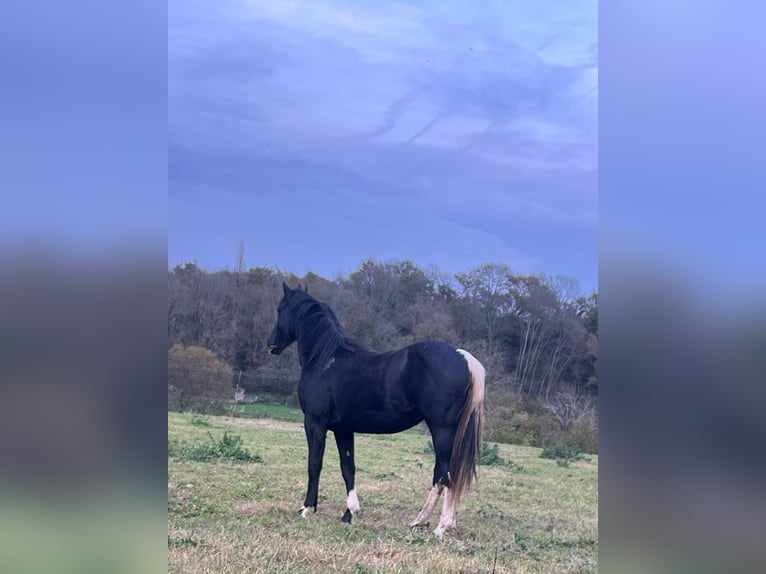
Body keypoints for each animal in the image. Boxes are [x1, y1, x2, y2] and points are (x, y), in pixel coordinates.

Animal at [267, 282, 486, 537]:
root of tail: (464, 357)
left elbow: (314, 464)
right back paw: (419, 521)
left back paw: (442, 527)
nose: (271, 344)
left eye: (280, 309)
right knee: (440, 475)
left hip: (442, 432)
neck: (324, 360)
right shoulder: (343, 429)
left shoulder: (315, 423)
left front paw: (307, 508)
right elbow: (348, 468)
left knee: (446, 474)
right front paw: (350, 513)